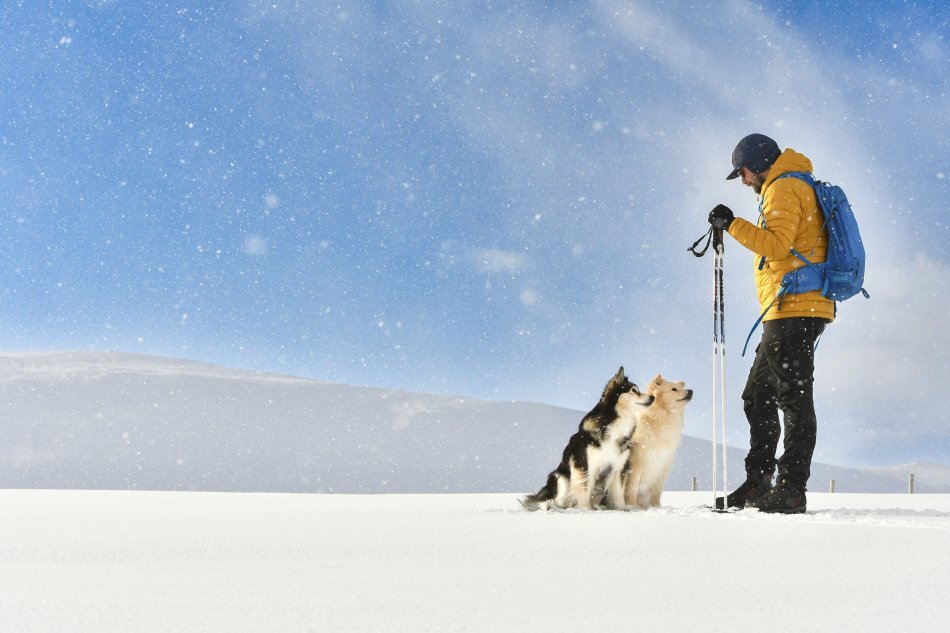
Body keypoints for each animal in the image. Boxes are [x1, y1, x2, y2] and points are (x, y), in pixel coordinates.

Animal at [520, 368, 656, 512]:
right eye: (634, 390)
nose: (653, 397)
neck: (614, 424)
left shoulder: (618, 467)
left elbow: (618, 492)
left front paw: (621, 509)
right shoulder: (585, 465)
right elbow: (584, 489)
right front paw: (585, 510)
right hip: (560, 478)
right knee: (557, 501)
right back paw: (550, 506)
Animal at [624, 376, 692, 508]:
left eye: (681, 387)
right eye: (674, 389)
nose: (691, 391)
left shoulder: (663, 466)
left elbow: (657, 492)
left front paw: (656, 507)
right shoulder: (637, 464)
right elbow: (632, 489)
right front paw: (633, 507)